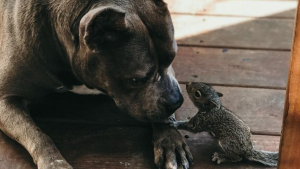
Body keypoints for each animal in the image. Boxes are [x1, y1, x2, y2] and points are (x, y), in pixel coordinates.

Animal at [0, 0, 192, 169]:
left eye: (172, 58)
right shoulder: (5, 99)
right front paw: (55, 163)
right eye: (136, 80)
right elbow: (38, 136)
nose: (177, 101)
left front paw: (170, 139)